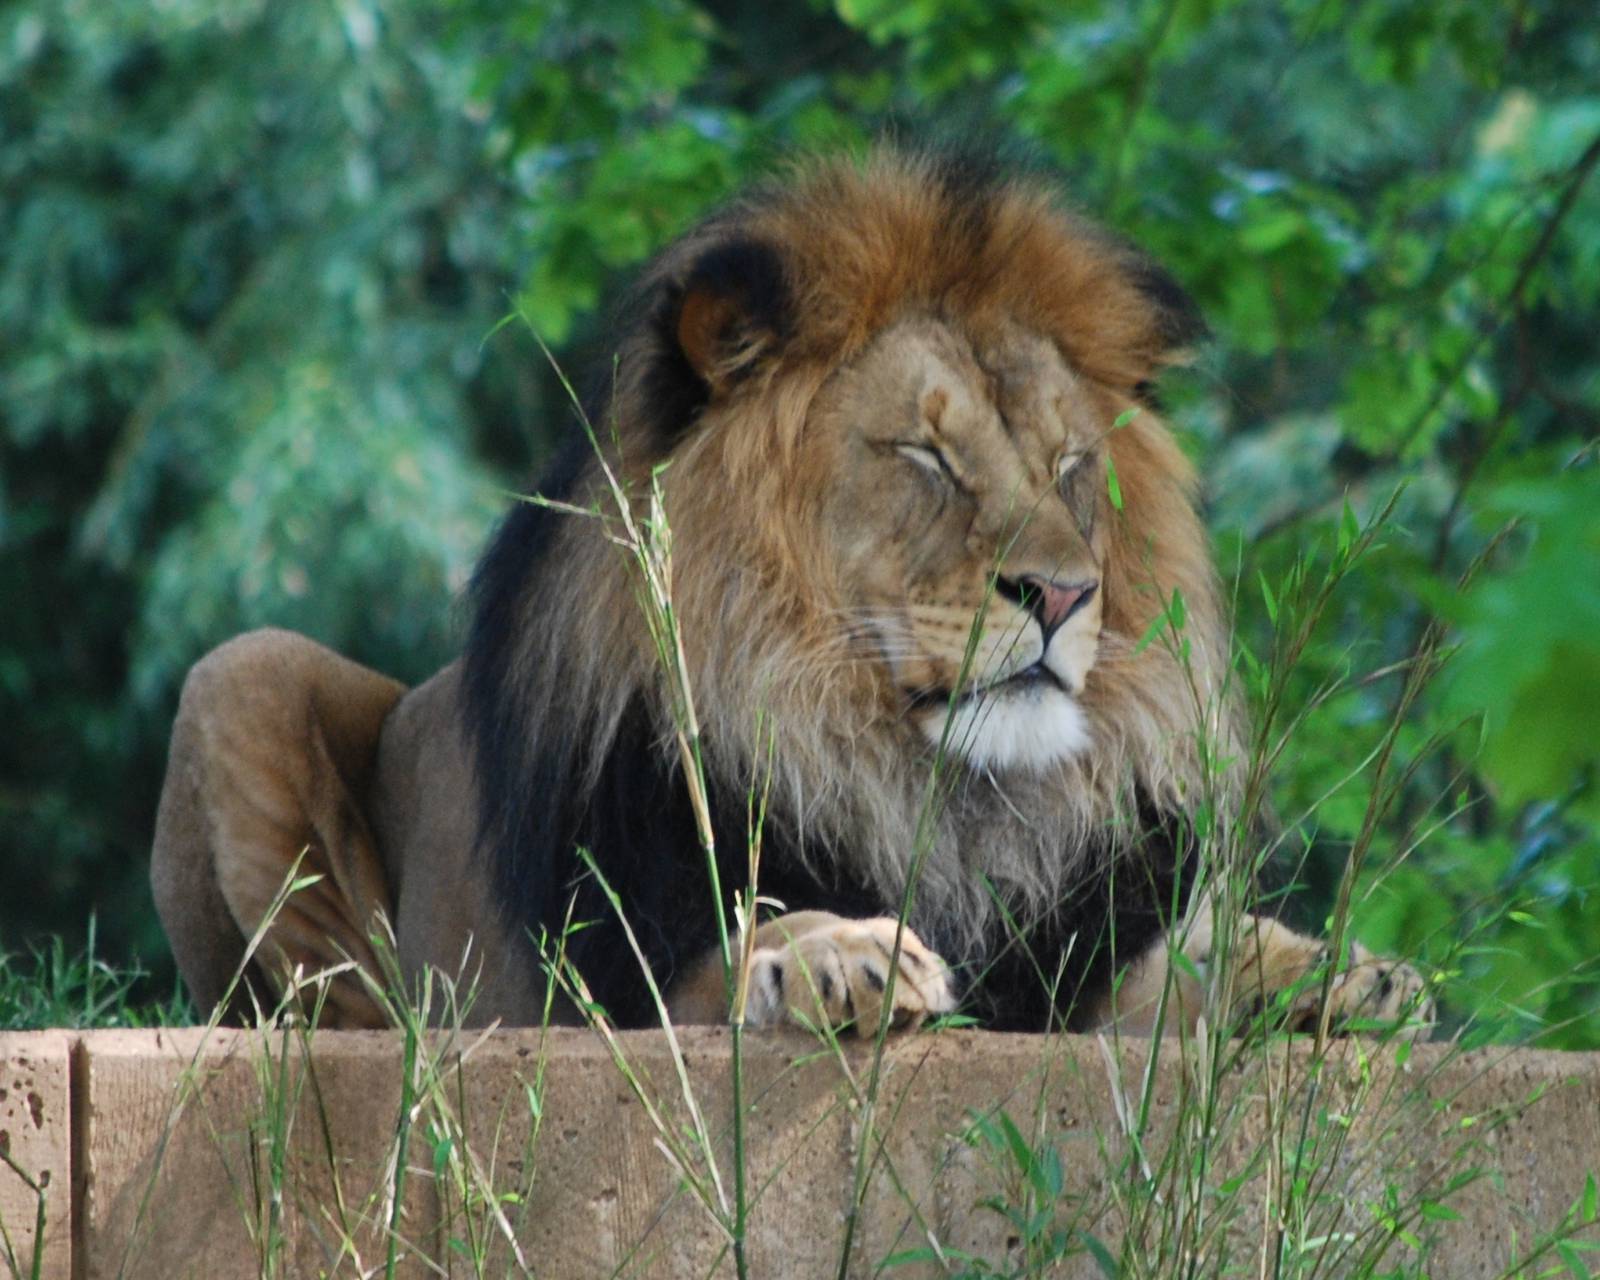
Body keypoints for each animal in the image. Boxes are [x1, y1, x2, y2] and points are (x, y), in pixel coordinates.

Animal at [151, 147, 1431, 1038]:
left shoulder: (1066, 970)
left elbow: (1183, 964)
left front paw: (1334, 968)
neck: (917, 786)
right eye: (925, 457)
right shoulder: (621, 990)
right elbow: (751, 930)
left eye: (1071, 465)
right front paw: (840, 953)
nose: (1067, 595)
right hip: (241, 669)